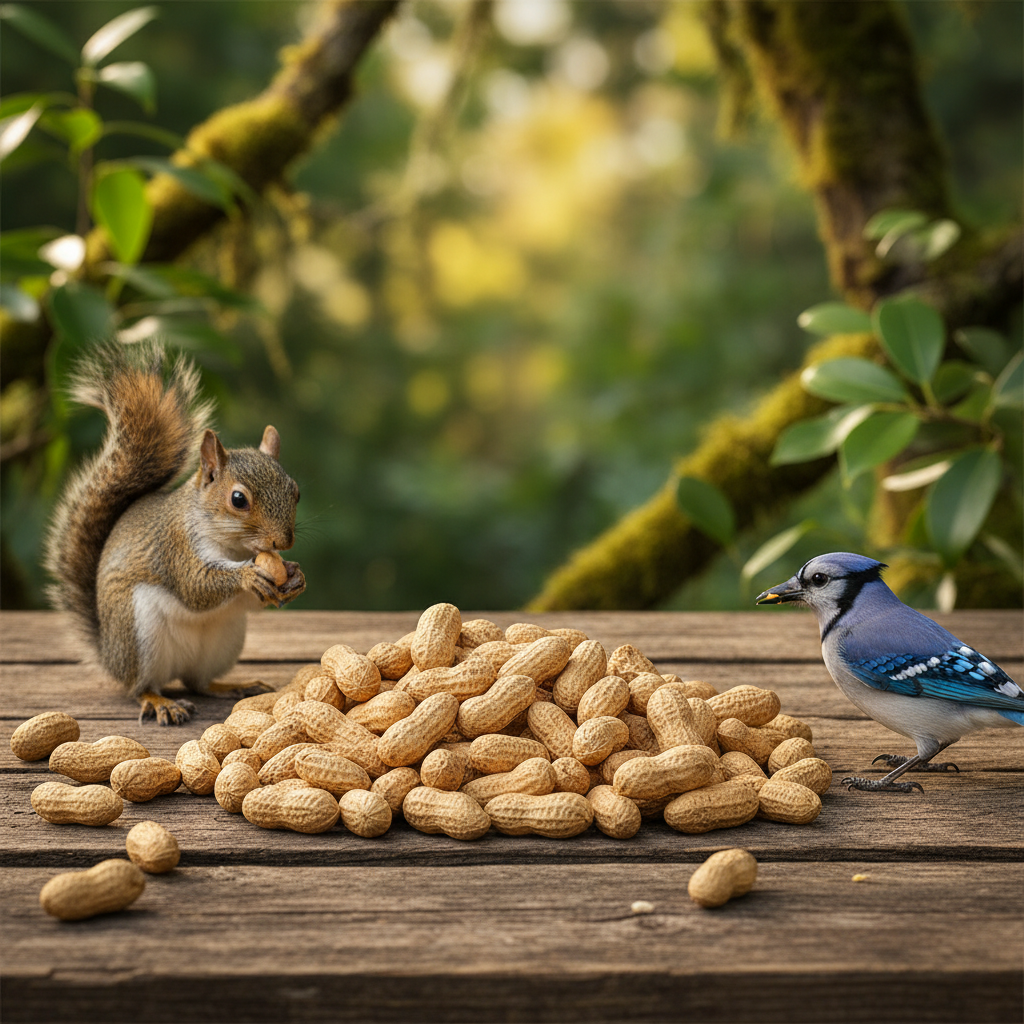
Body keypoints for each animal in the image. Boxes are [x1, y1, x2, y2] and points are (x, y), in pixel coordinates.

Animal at [44, 343, 306, 725]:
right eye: (238, 499)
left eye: (295, 491)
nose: (283, 542)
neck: (234, 548)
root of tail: (109, 654)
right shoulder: (177, 547)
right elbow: (195, 584)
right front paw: (247, 576)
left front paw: (295, 576)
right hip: (138, 633)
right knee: (140, 686)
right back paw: (160, 702)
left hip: (224, 639)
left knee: (199, 682)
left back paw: (233, 685)